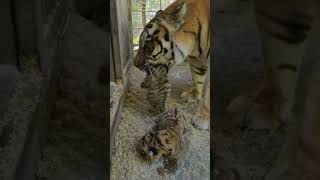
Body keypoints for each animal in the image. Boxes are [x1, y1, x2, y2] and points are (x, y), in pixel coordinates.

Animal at [132, 0, 210, 130]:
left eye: (147, 46)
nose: (135, 64)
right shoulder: (197, 59)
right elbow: (197, 77)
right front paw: (193, 95)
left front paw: (203, 118)